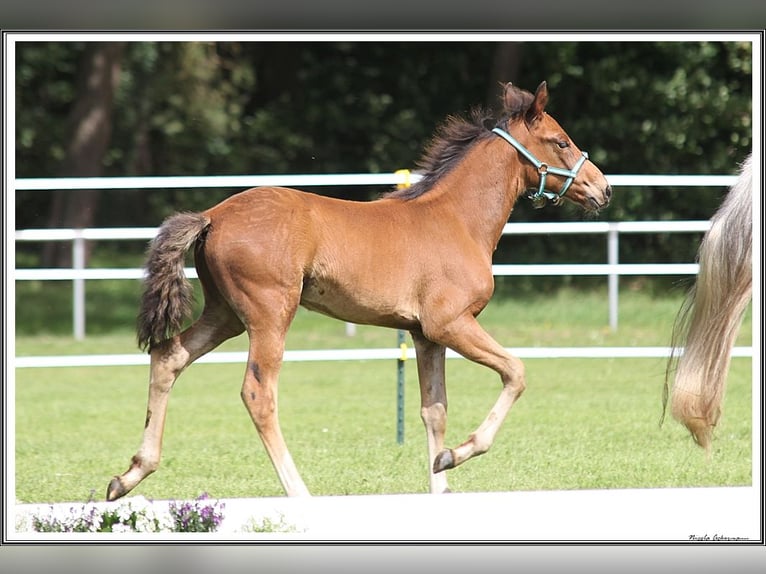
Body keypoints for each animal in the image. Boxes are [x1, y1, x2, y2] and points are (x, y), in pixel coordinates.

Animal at [108, 82, 616, 504]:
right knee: (258, 392)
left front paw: (440, 479)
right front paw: (457, 453)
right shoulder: (450, 323)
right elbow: (515, 371)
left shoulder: (424, 335)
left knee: (168, 356)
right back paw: (299, 491)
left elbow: (434, 409)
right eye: (561, 141)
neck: (456, 219)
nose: (603, 189)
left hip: (225, 314)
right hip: (270, 314)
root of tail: (212, 215)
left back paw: (128, 475)